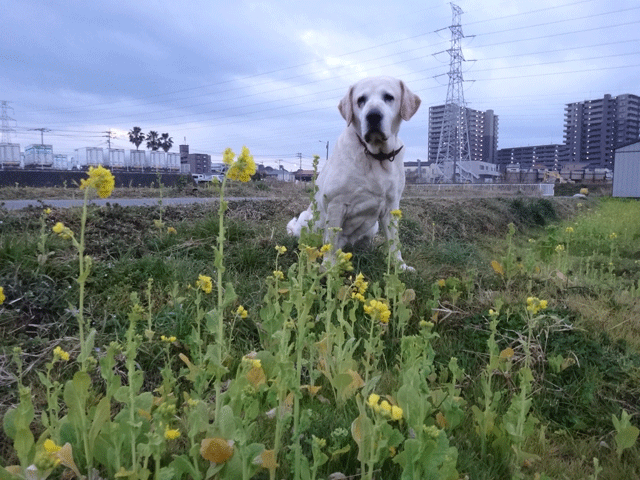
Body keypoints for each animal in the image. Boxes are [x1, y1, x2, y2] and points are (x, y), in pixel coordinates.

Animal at [288, 77, 420, 268]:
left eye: (389, 97)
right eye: (360, 100)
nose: (373, 115)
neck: (376, 156)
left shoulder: (392, 205)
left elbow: (394, 241)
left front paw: (399, 265)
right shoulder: (336, 203)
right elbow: (331, 239)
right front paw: (329, 267)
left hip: (373, 227)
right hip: (307, 218)